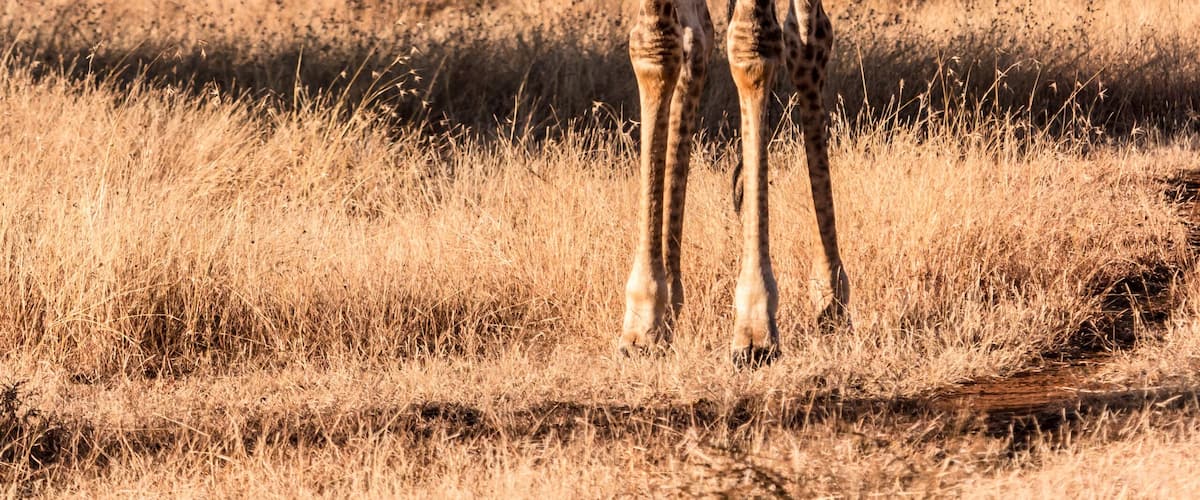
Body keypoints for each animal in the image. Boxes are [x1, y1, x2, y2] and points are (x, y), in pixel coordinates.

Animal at [620, 0, 850, 367]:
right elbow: (655, 44)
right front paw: (644, 322)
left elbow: (751, 44)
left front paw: (755, 326)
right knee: (696, 38)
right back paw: (670, 298)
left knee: (807, 36)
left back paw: (831, 298)